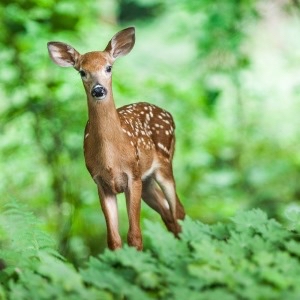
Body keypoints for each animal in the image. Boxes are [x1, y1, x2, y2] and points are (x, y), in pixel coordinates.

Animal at [47, 27, 185, 250]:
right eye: (82, 72)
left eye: (109, 67)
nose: (98, 90)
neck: (111, 158)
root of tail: (168, 114)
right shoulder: (101, 183)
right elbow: (113, 239)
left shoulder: (133, 176)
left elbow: (135, 236)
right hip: (147, 181)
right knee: (168, 214)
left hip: (164, 163)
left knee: (178, 211)